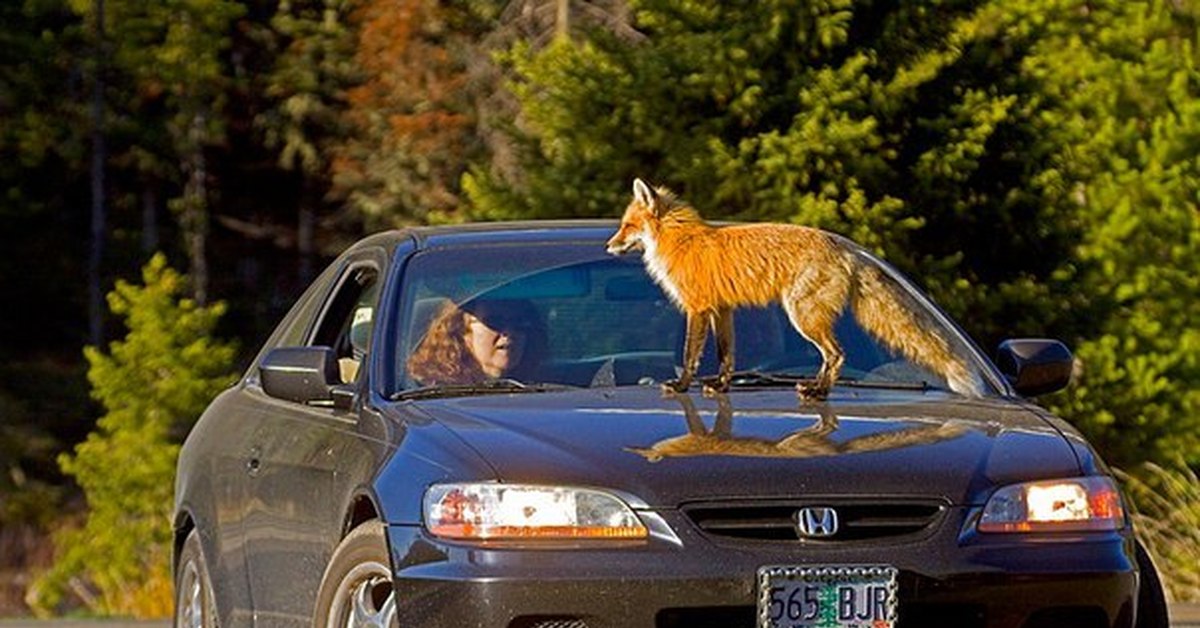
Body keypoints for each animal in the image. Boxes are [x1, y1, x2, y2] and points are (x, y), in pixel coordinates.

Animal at [609, 176, 984, 403]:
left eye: (627, 226)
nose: (610, 246)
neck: (681, 242)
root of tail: (842, 246)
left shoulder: (697, 307)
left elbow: (690, 355)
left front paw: (682, 386)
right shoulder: (722, 309)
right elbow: (726, 355)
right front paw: (720, 385)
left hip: (803, 315)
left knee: (836, 353)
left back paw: (818, 391)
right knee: (833, 355)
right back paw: (817, 389)